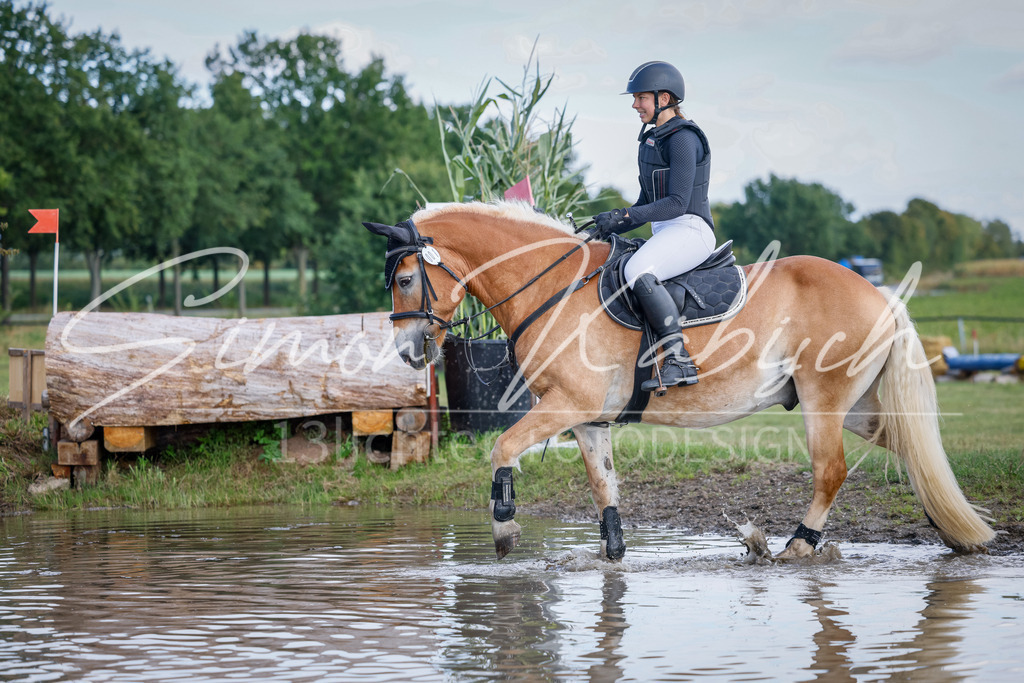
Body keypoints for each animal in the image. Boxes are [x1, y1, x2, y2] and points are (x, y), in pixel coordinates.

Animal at [363, 201, 995, 560]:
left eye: (405, 279)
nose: (409, 352)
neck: (553, 287)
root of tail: (879, 293)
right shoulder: (587, 418)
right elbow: (604, 489)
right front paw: (613, 555)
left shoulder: (566, 405)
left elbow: (500, 449)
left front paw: (504, 532)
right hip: (857, 406)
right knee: (910, 447)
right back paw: (951, 528)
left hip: (825, 400)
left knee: (831, 471)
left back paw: (795, 545)